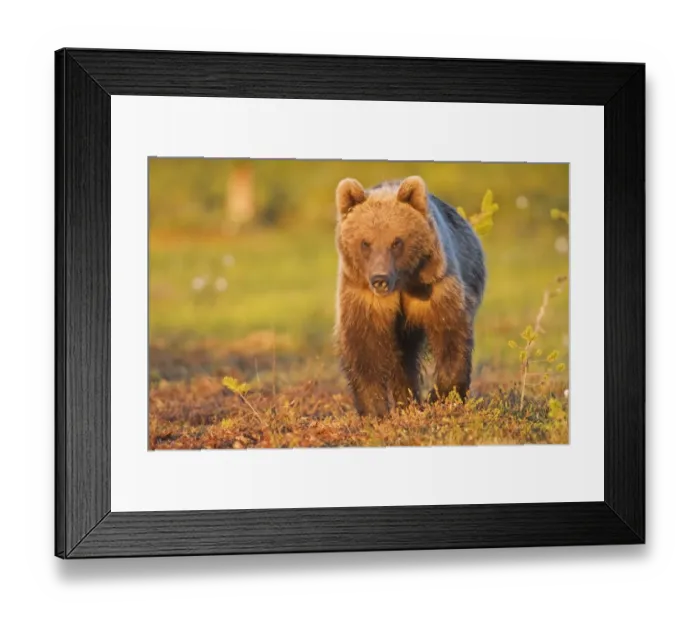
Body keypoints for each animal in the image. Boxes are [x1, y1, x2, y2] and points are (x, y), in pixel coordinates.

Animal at [334, 175, 486, 417]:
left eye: (396, 241)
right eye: (365, 242)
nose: (380, 279)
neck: (402, 284)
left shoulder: (435, 286)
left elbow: (450, 333)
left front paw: (440, 397)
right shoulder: (363, 295)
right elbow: (364, 345)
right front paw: (375, 409)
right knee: (401, 359)